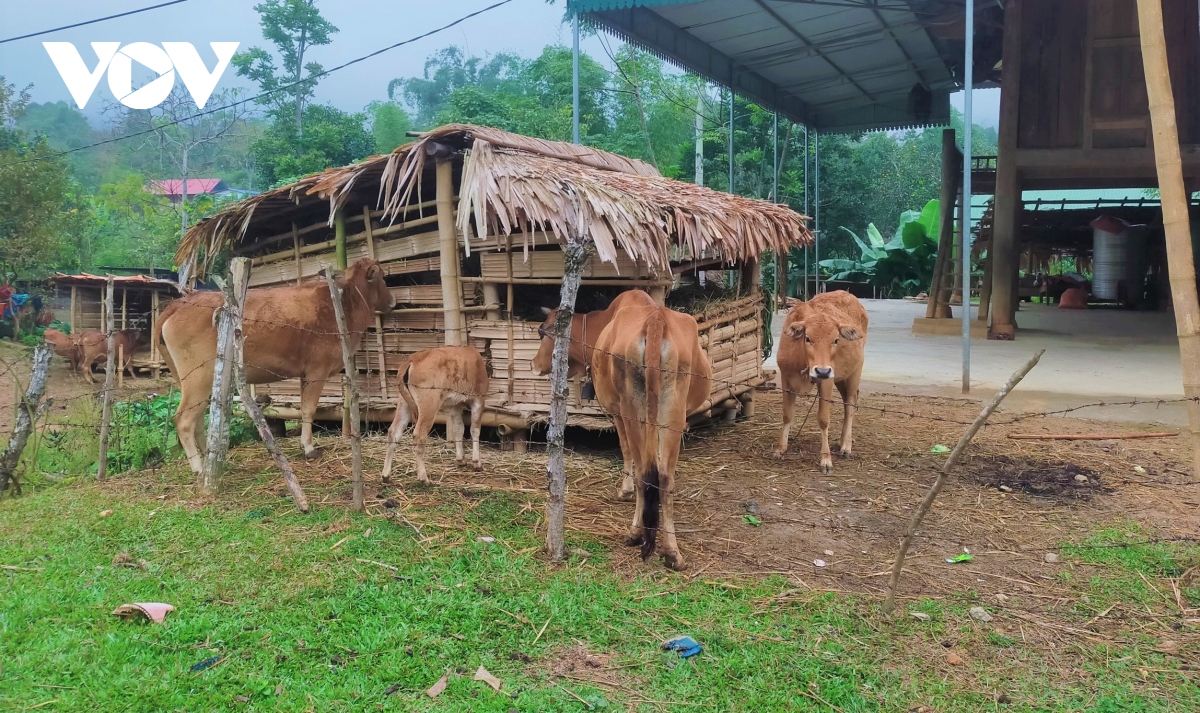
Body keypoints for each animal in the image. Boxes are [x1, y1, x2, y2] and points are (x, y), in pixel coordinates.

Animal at [152, 258, 396, 475]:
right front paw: (309, 448)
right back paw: (199, 467)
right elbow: (309, 409)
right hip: (198, 378)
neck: (345, 305)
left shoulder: (305, 374)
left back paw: (212, 459)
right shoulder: (317, 370)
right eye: (383, 277)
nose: (393, 299)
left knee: (199, 419)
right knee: (184, 420)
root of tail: (179, 303)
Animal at [376, 343, 484, 482]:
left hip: (403, 402)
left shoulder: (455, 405)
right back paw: (423, 478)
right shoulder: (479, 399)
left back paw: (386, 475)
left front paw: (461, 460)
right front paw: (477, 462)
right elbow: (475, 430)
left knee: (394, 432)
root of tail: (412, 359)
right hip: (428, 405)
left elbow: (458, 429)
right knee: (419, 435)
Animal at [535, 286, 710, 566]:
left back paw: (636, 533)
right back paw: (672, 552)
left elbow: (625, 449)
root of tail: (655, 320)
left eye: (543, 331)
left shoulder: (616, 410)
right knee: (663, 477)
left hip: (632, 411)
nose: (534, 363)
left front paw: (624, 491)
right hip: (672, 415)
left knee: (644, 472)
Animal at [772, 288, 868, 472]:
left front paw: (826, 460)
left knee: (850, 404)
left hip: (855, 370)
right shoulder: (785, 378)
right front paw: (780, 449)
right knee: (847, 401)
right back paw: (841, 441)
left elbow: (823, 420)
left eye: (836, 340)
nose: (822, 370)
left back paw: (846, 446)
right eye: (807, 338)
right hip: (841, 377)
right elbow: (787, 415)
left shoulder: (827, 381)